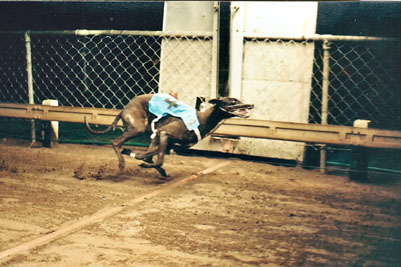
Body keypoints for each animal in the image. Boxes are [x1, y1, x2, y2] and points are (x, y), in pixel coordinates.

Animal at [85, 94, 253, 178]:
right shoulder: (164, 133)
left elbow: (148, 157)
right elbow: (157, 160)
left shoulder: (166, 140)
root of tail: (124, 109)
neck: (201, 118)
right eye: (233, 101)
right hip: (138, 129)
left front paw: (134, 155)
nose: (251, 105)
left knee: (140, 152)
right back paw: (121, 164)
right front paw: (142, 162)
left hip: (150, 133)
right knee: (115, 142)